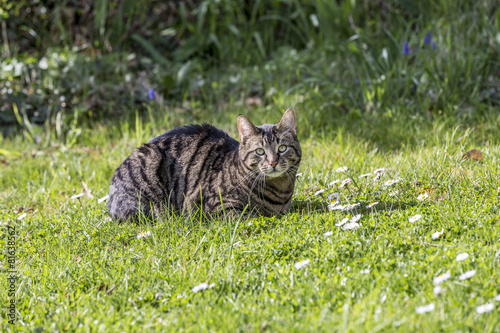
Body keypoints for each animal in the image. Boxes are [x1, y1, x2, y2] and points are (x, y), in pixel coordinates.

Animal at [106, 107, 300, 220]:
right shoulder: (210, 205)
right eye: (260, 151)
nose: (273, 162)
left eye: (282, 148)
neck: (279, 192)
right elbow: (250, 216)